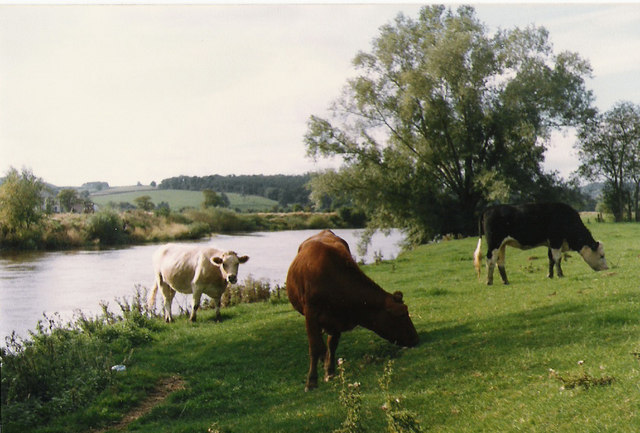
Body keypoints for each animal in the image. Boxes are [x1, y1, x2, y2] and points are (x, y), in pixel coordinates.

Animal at [286, 230, 420, 392]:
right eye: (401, 315)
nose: (416, 339)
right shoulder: (311, 313)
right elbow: (314, 347)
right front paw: (311, 381)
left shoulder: (336, 319)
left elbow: (332, 345)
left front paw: (329, 371)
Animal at [472, 202, 608, 286]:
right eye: (601, 255)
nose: (606, 268)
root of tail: (488, 209)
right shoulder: (555, 240)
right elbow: (557, 258)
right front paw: (560, 274)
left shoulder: (550, 243)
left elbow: (551, 259)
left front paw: (550, 275)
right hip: (494, 243)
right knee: (490, 260)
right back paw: (489, 281)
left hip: (502, 245)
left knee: (500, 262)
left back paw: (505, 281)